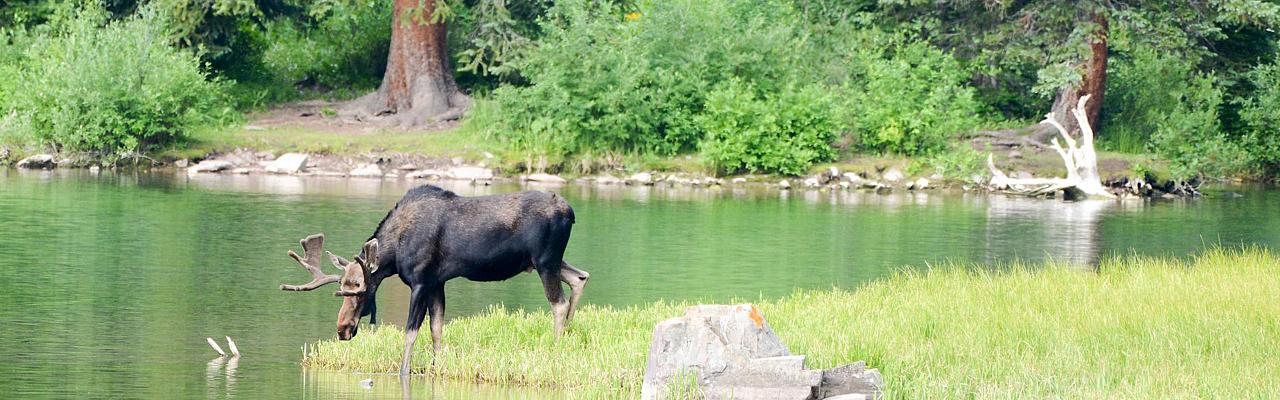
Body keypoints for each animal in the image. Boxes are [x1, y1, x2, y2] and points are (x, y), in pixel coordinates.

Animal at [280, 184, 588, 374]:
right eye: (343, 288)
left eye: (361, 291)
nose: (342, 329)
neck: (394, 253)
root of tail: (571, 213)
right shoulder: (438, 282)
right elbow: (436, 328)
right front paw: (434, 366)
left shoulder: (421, 281)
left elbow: (410, 331)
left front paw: (404, 370)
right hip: (543, 261)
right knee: (580, 276)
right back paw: (570, 333)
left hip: (545, 260)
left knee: (558, 303)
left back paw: (556, 348)